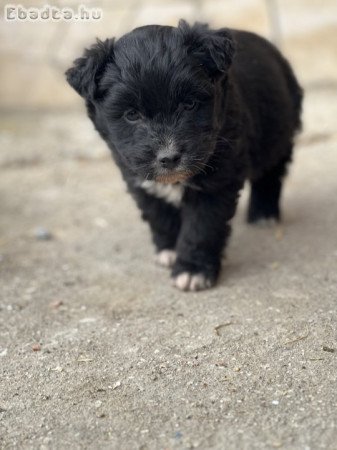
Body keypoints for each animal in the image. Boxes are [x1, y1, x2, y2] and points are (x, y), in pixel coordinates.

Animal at [65, 20, 302, 292]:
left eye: (189, 105)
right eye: (132, 114)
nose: (169, 157)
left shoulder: (215, 184)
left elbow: (201, 228)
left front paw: (192, 270)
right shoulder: (140, 180)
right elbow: (159, 215)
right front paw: (169, 249)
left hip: (279, 131)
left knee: (271, 174)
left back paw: (263, 213)